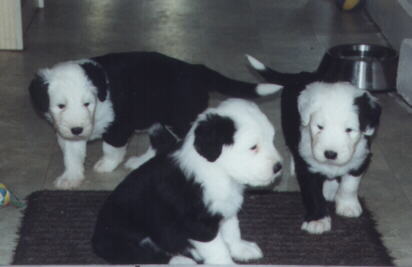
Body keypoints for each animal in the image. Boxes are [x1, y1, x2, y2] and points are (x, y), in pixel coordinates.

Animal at [28, 51, 280, 191]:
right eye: (60, 106)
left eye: (86, 104)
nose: (78, 129)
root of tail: (196, 70)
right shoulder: (67, 132)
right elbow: (72, 155)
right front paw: (70, 178)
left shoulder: (118, 125)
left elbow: (112, 149)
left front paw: (105, 166)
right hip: (158, 122)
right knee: (162, 143)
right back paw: (140, 163)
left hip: (180, 118)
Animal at [91, 99, 284, 266]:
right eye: (253, 147)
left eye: (271, 139)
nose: (278, 167)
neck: (219, 172)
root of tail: (96, 238)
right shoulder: (198, 223)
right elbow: (217, 247)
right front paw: (227, 262)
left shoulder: (225, 206)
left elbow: (232, 229)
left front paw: (241, 249)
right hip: (120, 240)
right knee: (144, 255)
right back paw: (182, 261)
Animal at [246, 55, 382, 236]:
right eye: (319, 127)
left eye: (349, 130)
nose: (330, 154)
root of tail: (300, 75)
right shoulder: (308, 164)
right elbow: (313, 194)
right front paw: (317, 220)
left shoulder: (360, 159)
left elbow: (350, 184)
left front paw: (348, 206)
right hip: (289, 127)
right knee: (292, 148)